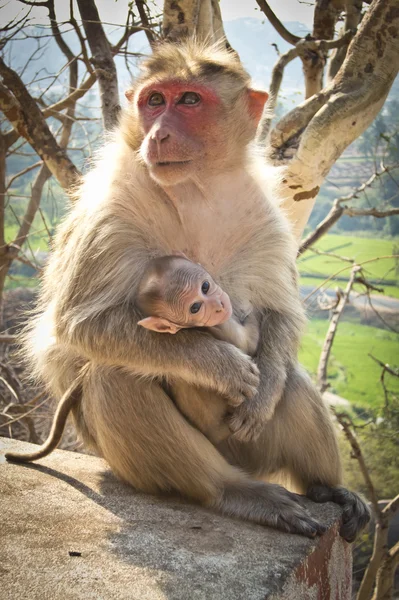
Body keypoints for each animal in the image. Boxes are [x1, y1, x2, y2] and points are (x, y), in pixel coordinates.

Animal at [18, 41, 368, 540]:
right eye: (154, 101)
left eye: (188, 100)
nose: (158, 134)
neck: (193, 188)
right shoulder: (108, 213)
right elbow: (79, 326)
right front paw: (218, 363)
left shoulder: (264, 212)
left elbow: (280, 312)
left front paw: (261, 390)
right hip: (152, 464)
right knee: (112, 375)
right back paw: (237, 493)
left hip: (251, 449)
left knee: (290, 378)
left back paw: (326, 488)